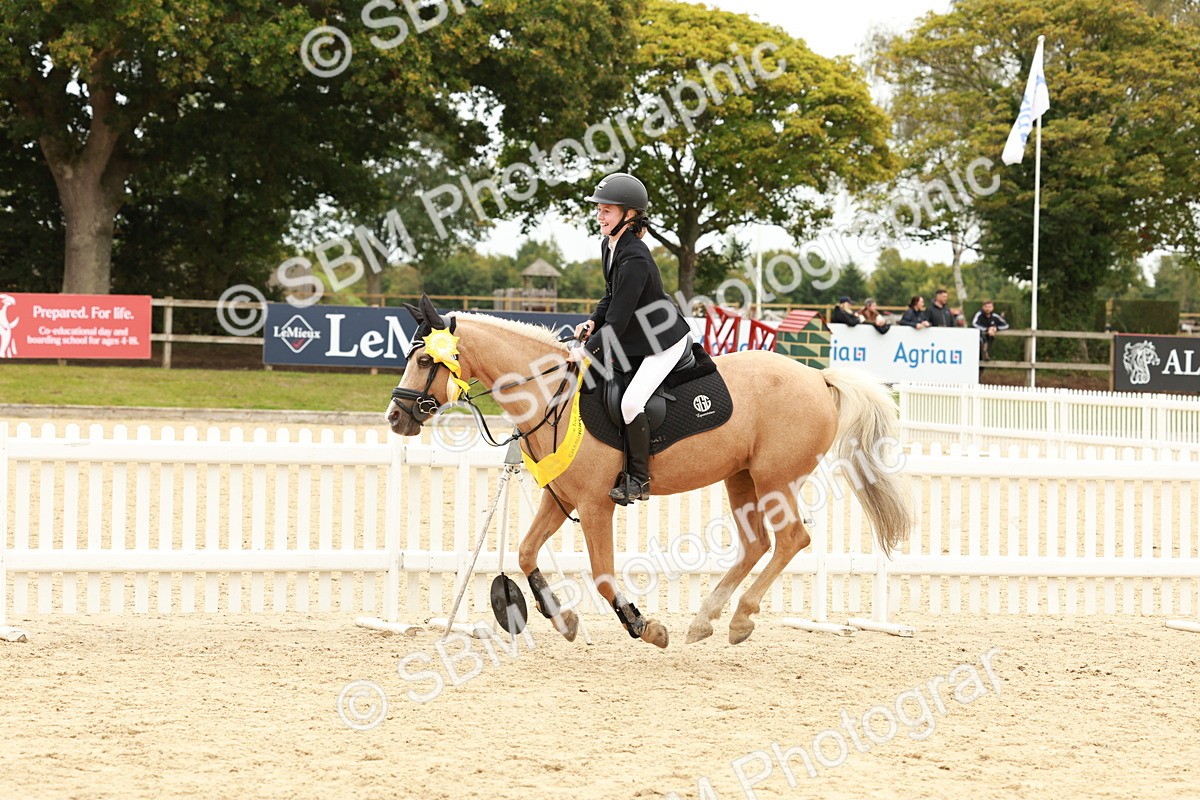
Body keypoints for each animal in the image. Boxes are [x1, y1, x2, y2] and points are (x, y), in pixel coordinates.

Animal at [386, 296, 912, 648]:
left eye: (426, 359)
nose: (395, 417)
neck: (551, 395)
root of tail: (819, 377)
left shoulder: (595, 505)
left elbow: (602, 575)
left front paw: (644, 626)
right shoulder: (561, 499)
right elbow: (525, 552)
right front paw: (563, 619)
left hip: (775, 480)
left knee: (790, 541)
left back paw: (740, 619)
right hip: (741, 478)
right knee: (756, 544)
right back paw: (705, 620)